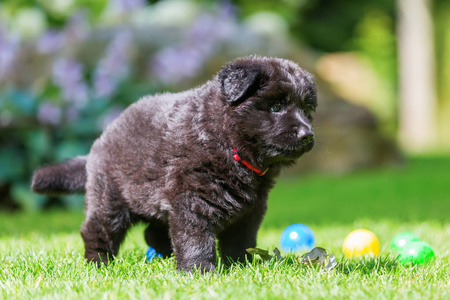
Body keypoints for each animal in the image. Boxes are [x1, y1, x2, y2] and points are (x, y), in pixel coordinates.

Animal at [30, 55, 316, 272]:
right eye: (276, 107)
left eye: (306, 110)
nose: (308, 135)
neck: (227, 142)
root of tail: (101, 139)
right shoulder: (193, 199)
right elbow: (196, 239)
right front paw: (199, 271)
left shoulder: (250, 210)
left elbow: (240, 240)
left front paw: (241, 267)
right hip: (109, 198)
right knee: (97, 229)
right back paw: (98, 262)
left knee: (153, 232)